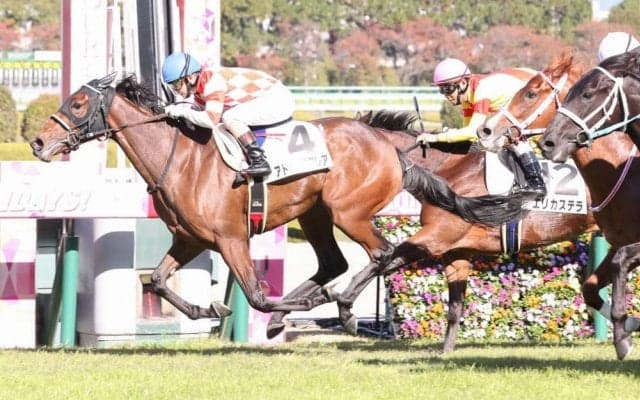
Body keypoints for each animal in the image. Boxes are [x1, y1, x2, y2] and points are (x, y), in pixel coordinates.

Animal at [30, 74, 529, 338]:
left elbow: (254, 293)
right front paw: (206, 311)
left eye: (79, 103)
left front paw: (267, 307)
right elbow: (156, 280)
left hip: (348, 211)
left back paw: (342, 307)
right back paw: (309, 304)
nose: (37, 142)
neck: (182, 158)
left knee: (382, 254)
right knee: (333, 263)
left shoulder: (230, 237)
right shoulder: (190, 238)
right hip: (315, 213)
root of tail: (386, 143)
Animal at [341, 52, 602, 353]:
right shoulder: (456, 252)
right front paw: (446, 351)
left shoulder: (435, 238)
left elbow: (385, 260)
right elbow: (455, 307)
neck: (447, 170)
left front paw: (341, 306)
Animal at [538, 47, 640, 360]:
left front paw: (623, 335)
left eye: (587, 94)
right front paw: (626, 329)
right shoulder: (621, 240)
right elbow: (592, 285)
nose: (547, 143)